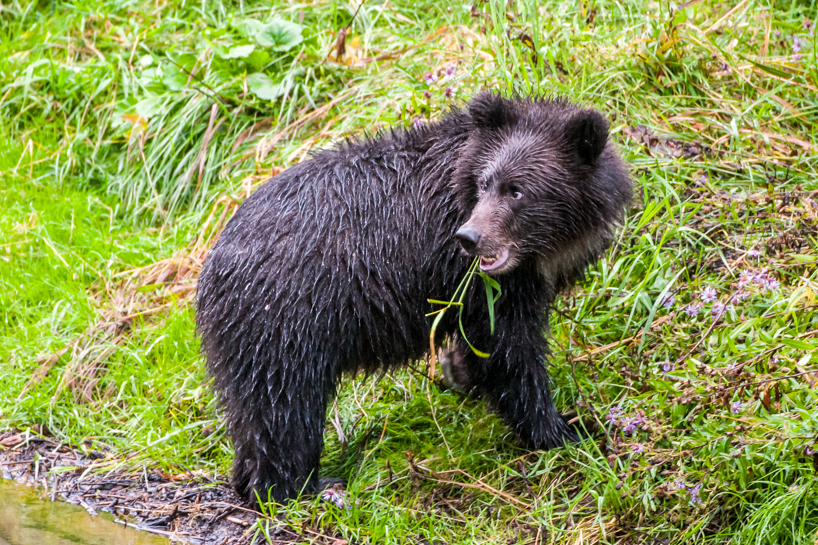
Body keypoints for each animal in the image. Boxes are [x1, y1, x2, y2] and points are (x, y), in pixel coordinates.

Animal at [196, 92, 632, 504]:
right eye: (485, 184)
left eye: (518, 190)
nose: (470, 237)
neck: (541, 252)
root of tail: (210, 266)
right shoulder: (477, 281)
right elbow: (510, 352)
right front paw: (565, 428)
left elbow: (483, 347)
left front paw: (460, 374)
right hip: (287, 322)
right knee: (285, 407)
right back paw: (302, 486)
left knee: (251, 415)